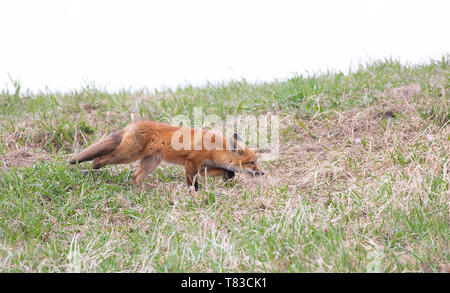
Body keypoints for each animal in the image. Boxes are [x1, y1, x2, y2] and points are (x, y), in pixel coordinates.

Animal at [69, 119, 264, 189]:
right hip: (126, 155)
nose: (262, 173)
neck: (214, 148)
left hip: (151, 162)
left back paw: (142, 193)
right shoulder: (191, 163)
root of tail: (133, 124)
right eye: (252, 162)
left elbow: (227, 170)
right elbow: (192, 183)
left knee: (136, 177)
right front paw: (194, 195)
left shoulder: (204, 168)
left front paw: (229, 176)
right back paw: (89, 171)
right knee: (100, 159)